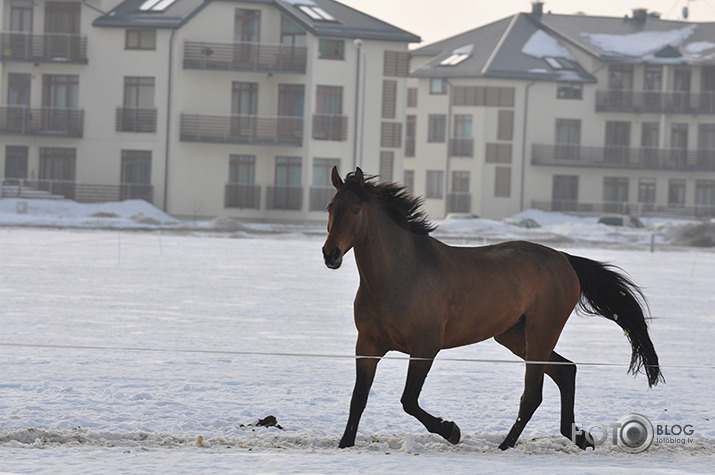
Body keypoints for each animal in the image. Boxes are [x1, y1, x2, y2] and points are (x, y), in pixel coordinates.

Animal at [322, 167, 664, 450]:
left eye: (356, 209)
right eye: (330, 207)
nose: (330, 254)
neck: (400, 276)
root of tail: (564, 258)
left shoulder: (424, 347)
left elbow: (409, 400)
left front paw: (452, 430)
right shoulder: (368, 345)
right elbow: (358, 399)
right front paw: (345, 444)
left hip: (541, 332)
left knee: (533, 393)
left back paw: (506, 445)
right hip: (514, 335)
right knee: (565, 371)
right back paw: (578, 437)